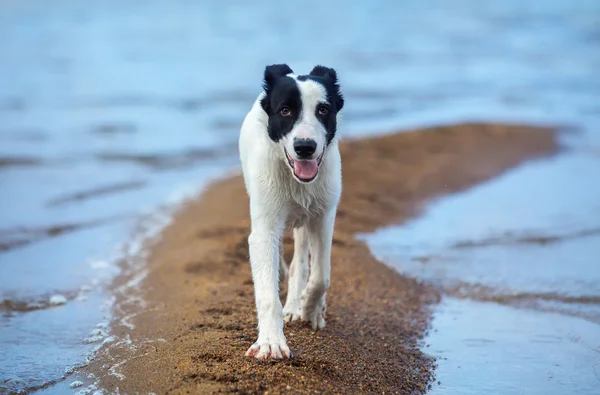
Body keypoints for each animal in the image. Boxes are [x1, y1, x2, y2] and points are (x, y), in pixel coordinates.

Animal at [238, 63, 344, 360]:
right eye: (285, 110)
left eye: (323, 110)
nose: (305, 147)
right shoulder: (264, 230)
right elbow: (267, 294)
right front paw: (271, 342)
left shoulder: (323, 219)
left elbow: (321, 276)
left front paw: (309, 308)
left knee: (302, 263)